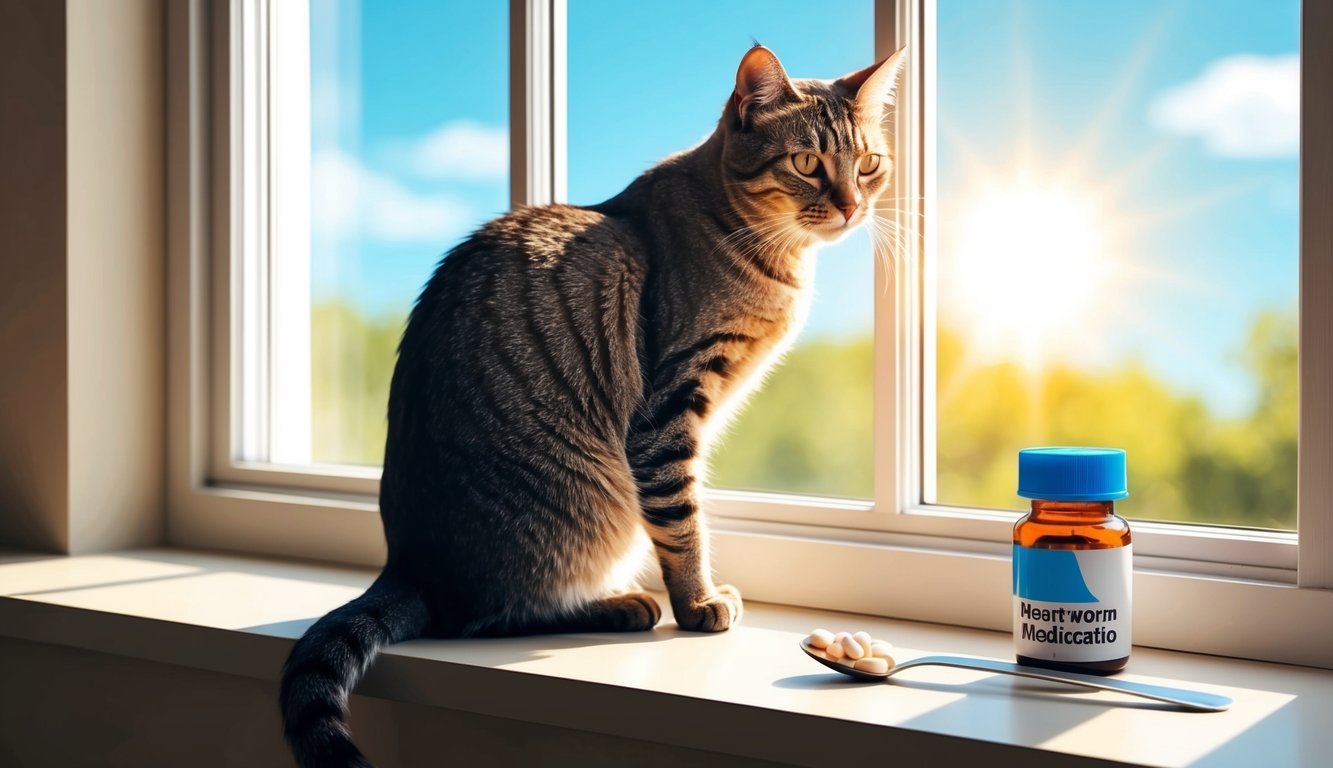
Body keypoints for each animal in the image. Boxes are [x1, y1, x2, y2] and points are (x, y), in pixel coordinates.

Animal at [281, 45, 906, 762]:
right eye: (806, 163)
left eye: (868, 164)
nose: (851, 207)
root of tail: (406, 566)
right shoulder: (668, 409)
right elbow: (683, 522)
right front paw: (698, 604)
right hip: (579, 505)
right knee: (483, 616)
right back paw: (619, 604)